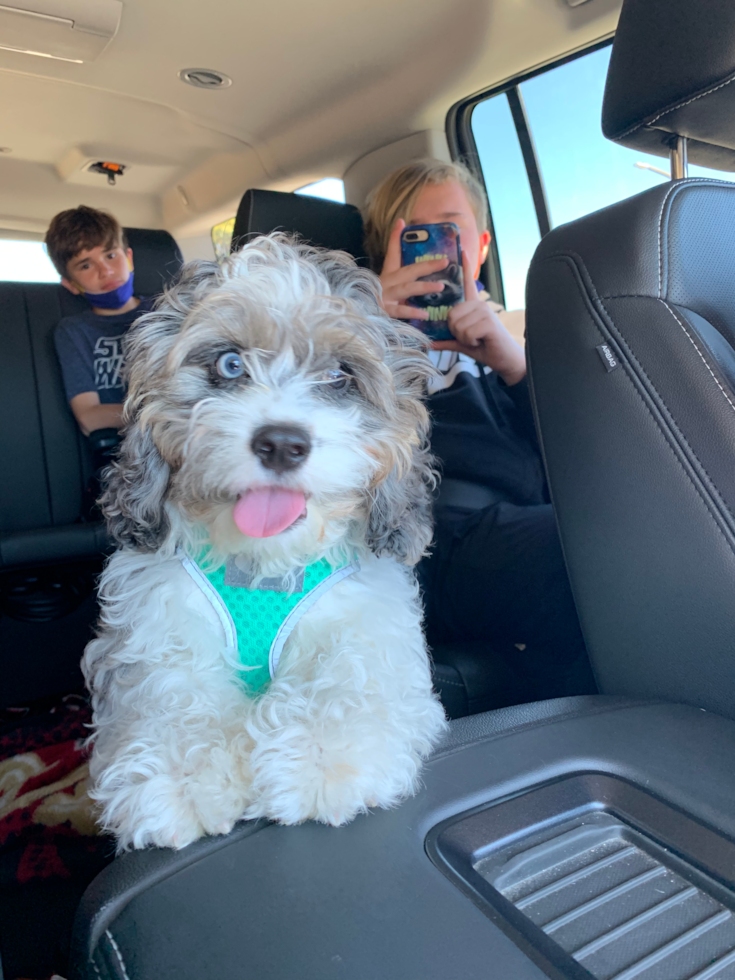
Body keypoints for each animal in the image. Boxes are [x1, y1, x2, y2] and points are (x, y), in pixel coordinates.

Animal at [81, 235, 448, 848]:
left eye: (338, 374)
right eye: (230, 363)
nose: (281, 443)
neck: (262, 567)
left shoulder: (368, 619)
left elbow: (351, 678)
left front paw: (322, 759)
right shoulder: (156, 623)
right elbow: (170, 692)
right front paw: (180, 776)